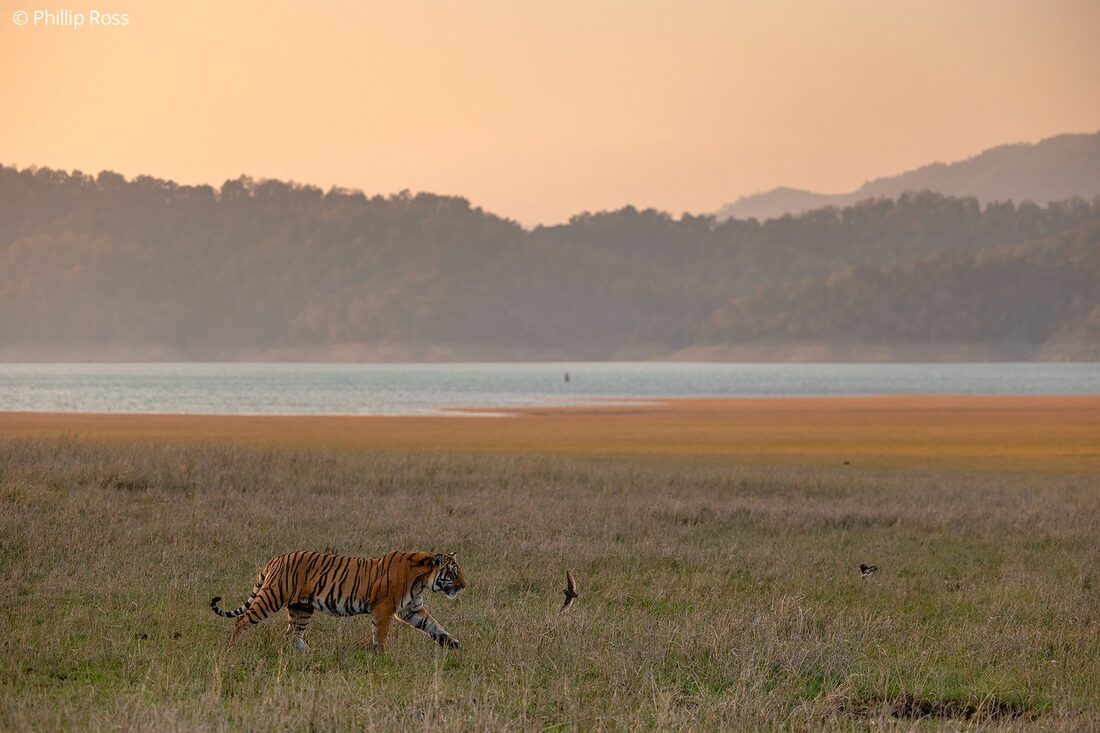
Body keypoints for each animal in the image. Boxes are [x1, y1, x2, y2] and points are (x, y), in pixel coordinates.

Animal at [210, 550, 465, 653]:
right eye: (452, 572)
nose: (464, 586)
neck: (422, 579)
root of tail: (276, 558)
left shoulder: (412, 609)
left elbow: (435, 627)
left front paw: (454, 644)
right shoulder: (385, 609)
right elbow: (381, 635)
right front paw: (382, 655)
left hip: (302, 607)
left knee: (292, 633)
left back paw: (308, 653)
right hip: (272, 597)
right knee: (242, 620)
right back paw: (231, 648)